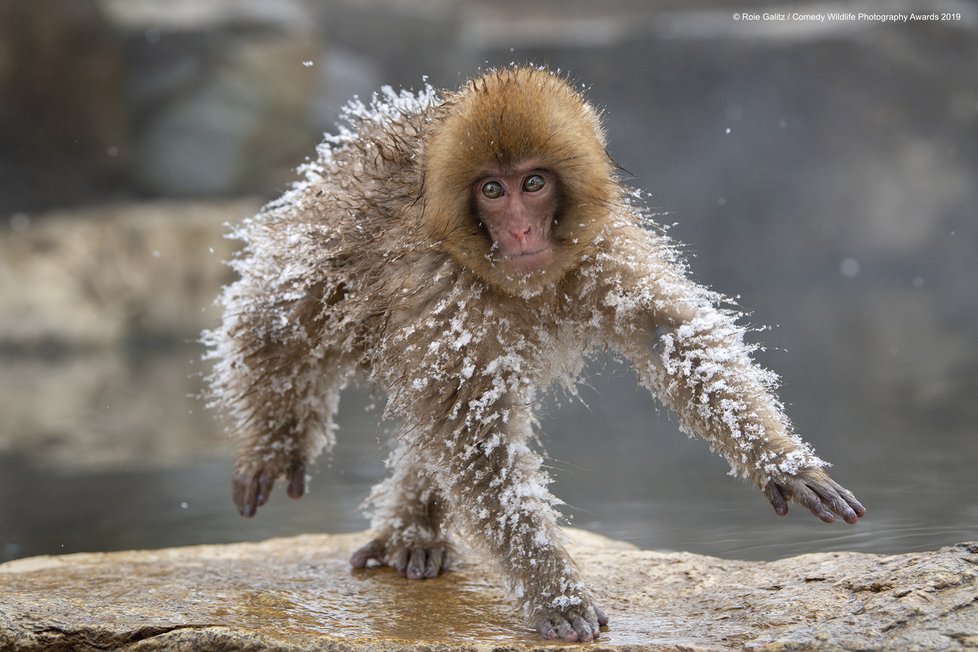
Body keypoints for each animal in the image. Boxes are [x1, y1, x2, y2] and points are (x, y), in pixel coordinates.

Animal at [204, 67, 860, 640]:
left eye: (534, 184)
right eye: (493, 190)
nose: (520, 231)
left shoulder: (600, 251)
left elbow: (669, 336)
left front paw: (783, 463)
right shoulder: (444, 291)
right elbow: (473, 438)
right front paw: (555, 594)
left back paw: (415, 526)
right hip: (320, 230)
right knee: (279, 319)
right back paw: (283, 440)